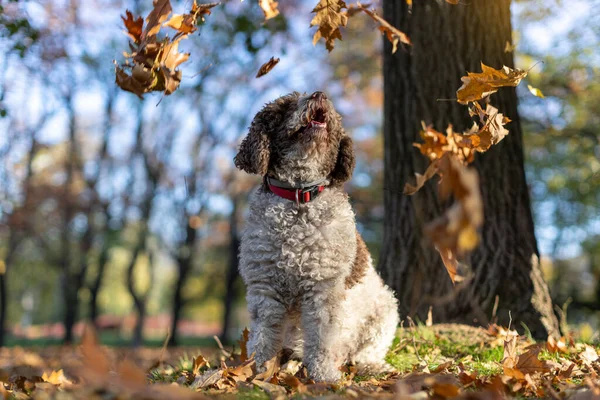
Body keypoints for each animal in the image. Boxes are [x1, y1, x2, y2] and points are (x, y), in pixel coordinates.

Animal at [234, 90, 398, 382]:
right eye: (288, 104)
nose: (319, 94)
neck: (299, 198)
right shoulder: (265, 288)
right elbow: (264, 338)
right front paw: (257, 373)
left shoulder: (323, 289)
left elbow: (322, 338)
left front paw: (324, 376)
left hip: (386, 311)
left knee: (366, 351)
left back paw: (370, 366)